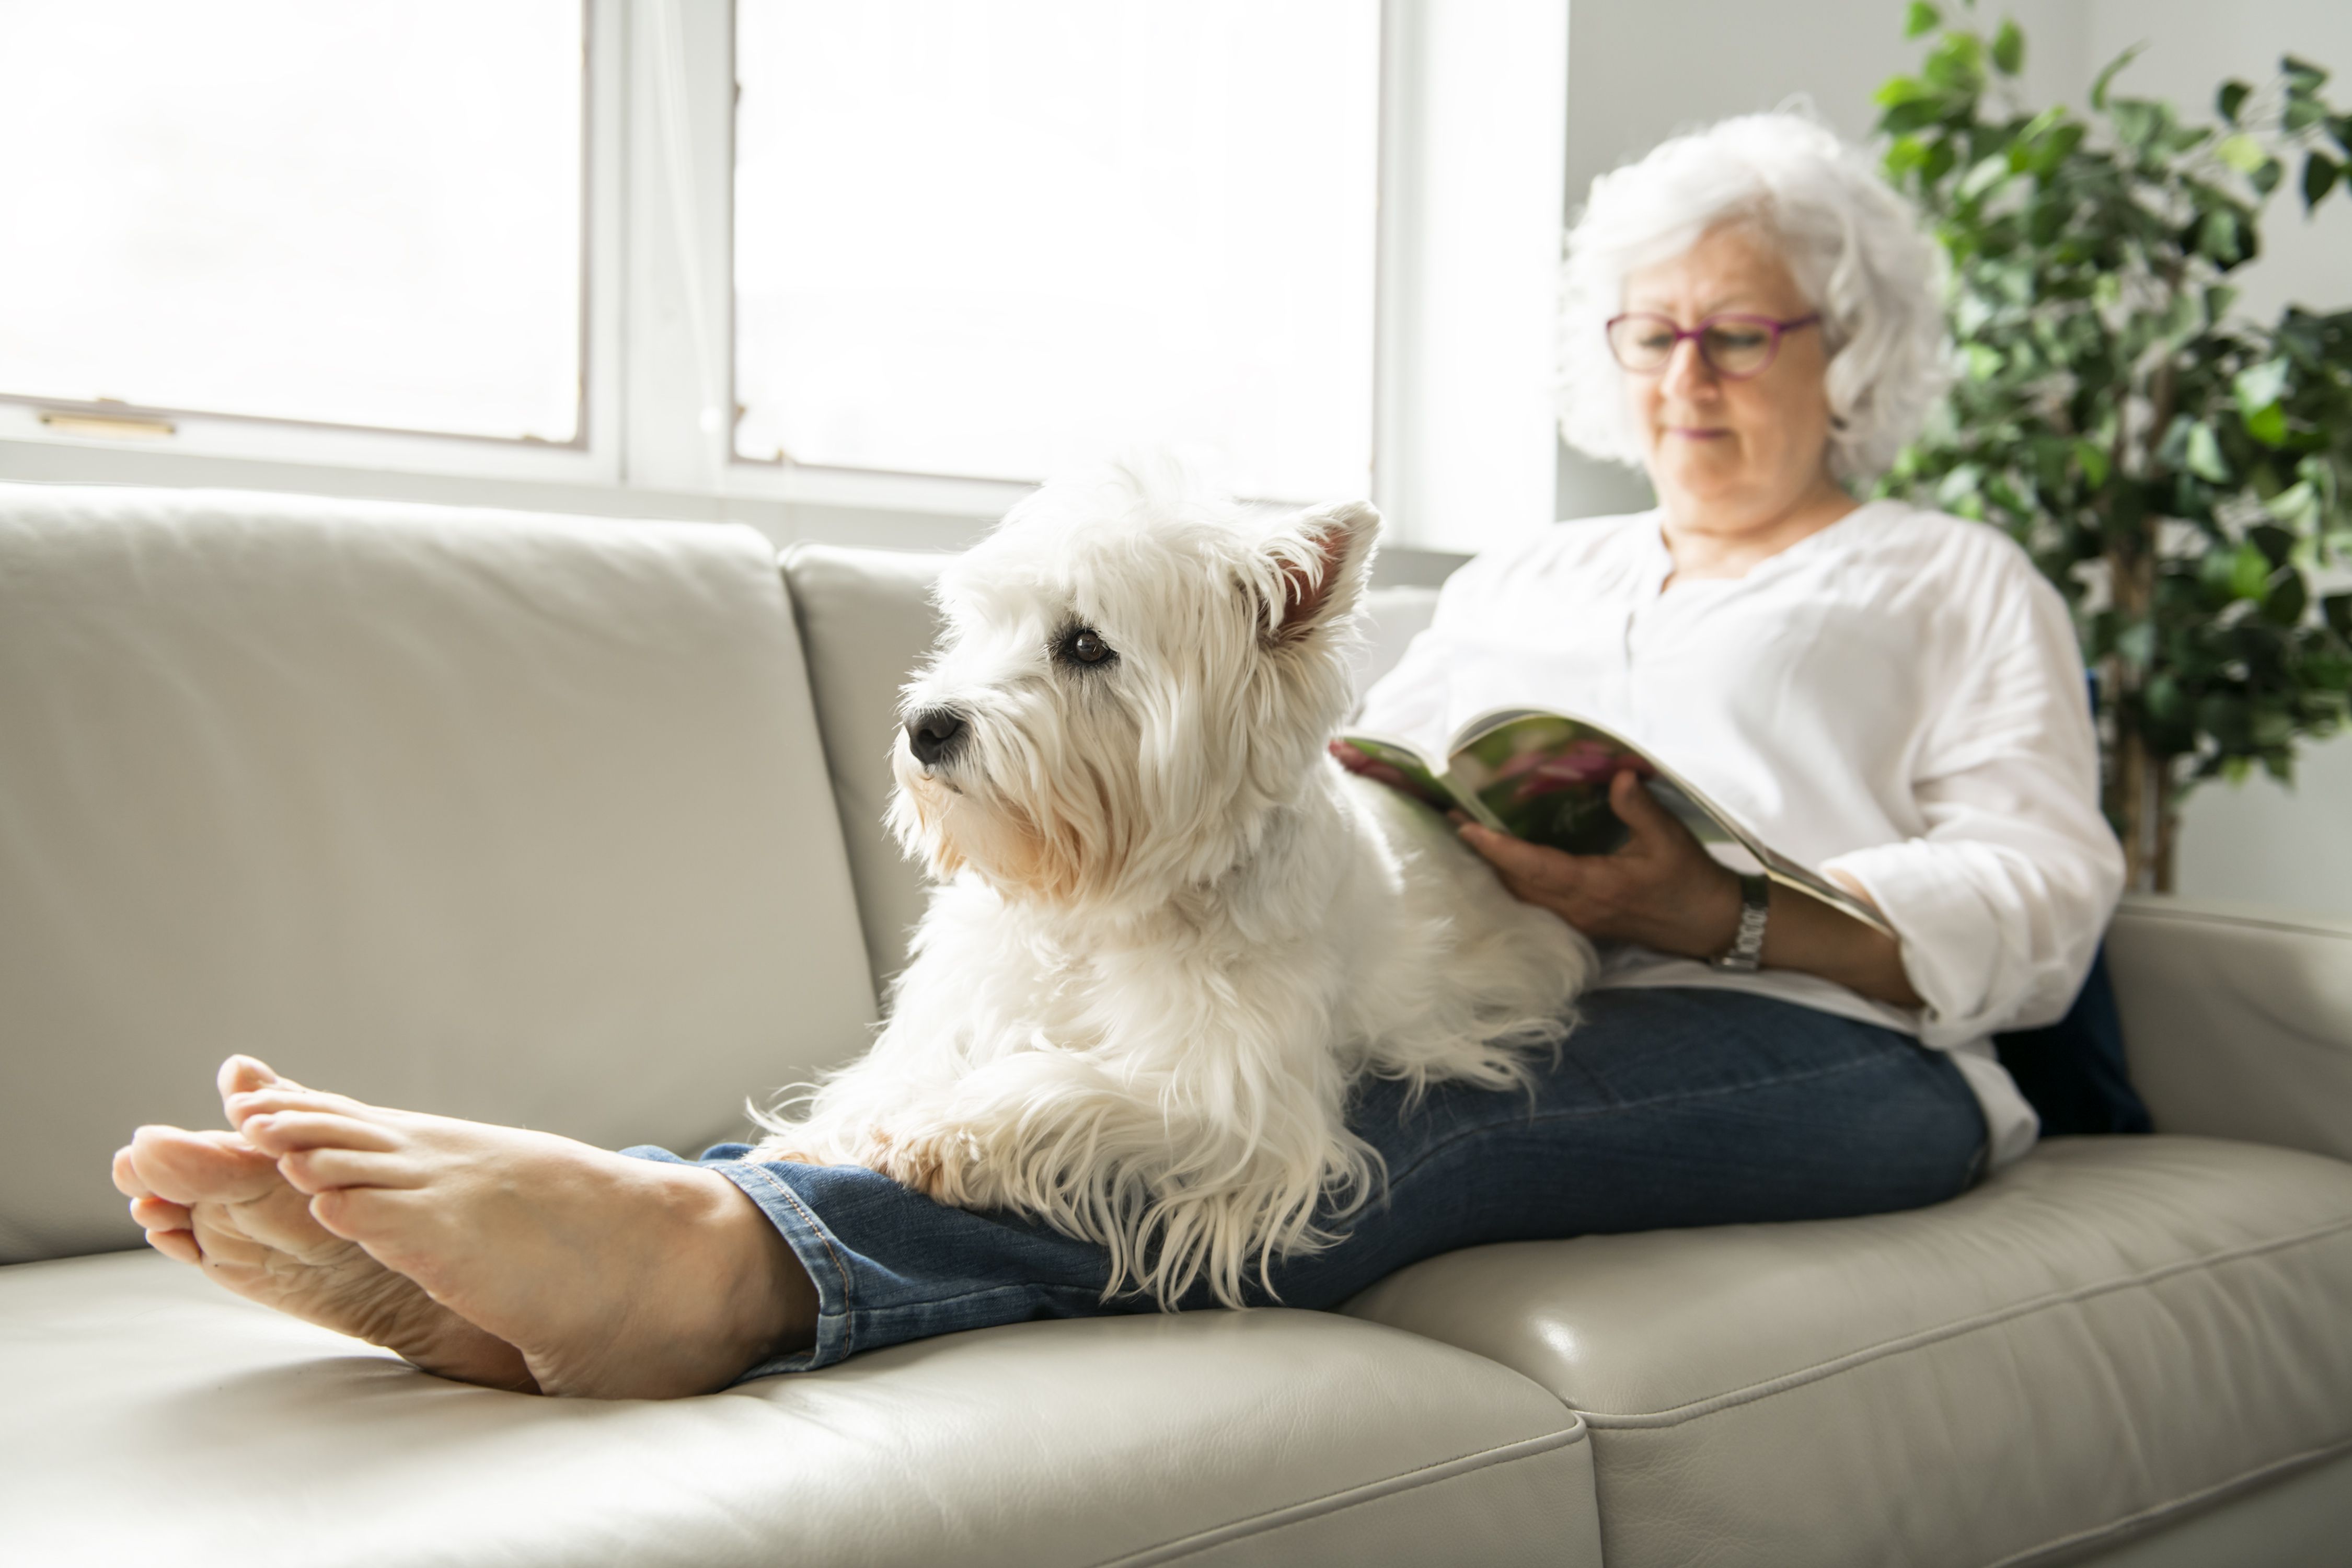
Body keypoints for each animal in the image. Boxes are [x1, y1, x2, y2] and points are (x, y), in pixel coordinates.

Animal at [757, 465, 1599, 1316]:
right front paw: (822, 1135)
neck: (1096, 907)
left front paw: (947, 1132)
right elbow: (893, 1073)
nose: (925, 726)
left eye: (1086, 645)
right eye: (982, 627)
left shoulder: (1239, 1103)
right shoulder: (968, 1003)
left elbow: (1067, 1082)